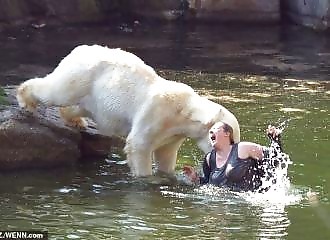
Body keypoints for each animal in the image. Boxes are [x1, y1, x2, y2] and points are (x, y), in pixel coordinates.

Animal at [16, 44, 240, 176]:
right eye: (230, 138)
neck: (183, 111)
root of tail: (79, 49)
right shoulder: (157, 113)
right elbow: (139, 145)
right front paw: (146, 178)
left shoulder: (173, 134)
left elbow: (165, 154)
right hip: (82, 75)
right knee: (57, 91)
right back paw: (26, 100)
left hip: (94, 95)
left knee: (81, 107)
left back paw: (76, 121)